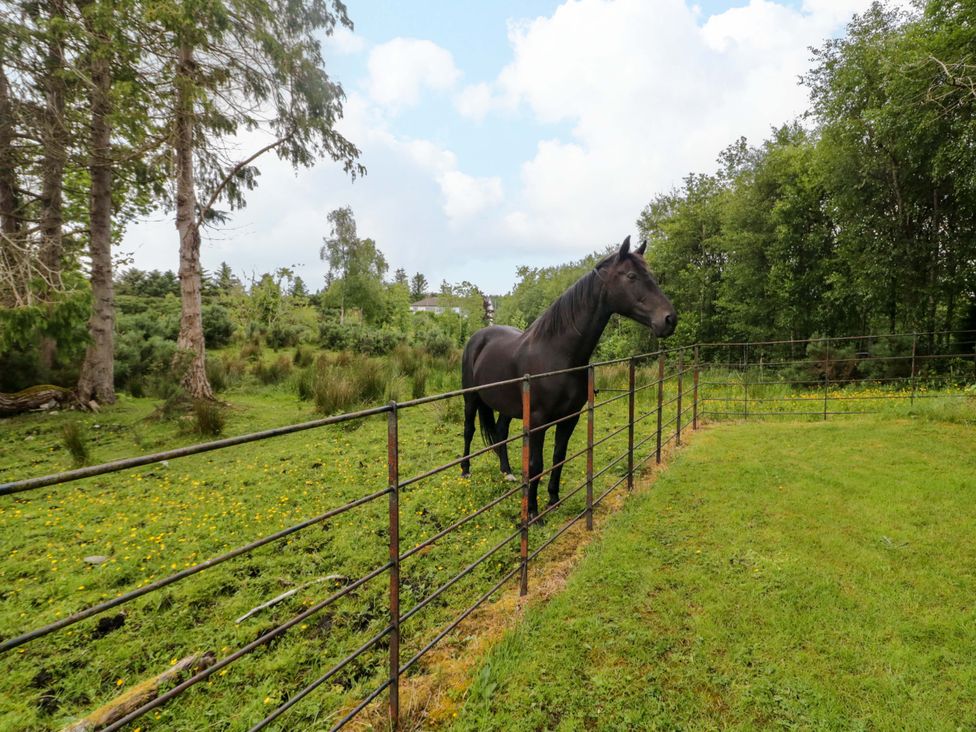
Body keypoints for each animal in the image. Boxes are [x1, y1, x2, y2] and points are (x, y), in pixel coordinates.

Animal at [460, 235, 677, 518]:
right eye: (631, 276)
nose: (669, 319)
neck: (558, 355)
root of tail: (478, 338)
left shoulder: (570, 417)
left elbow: (558, 457)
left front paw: (553, 500)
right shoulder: (538, 421)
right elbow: (536, 464)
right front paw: (533, 513)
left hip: (507, 407)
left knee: (500, 432)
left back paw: (507, 472)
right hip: (471, 399)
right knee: (469, 430)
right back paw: (465, 472)